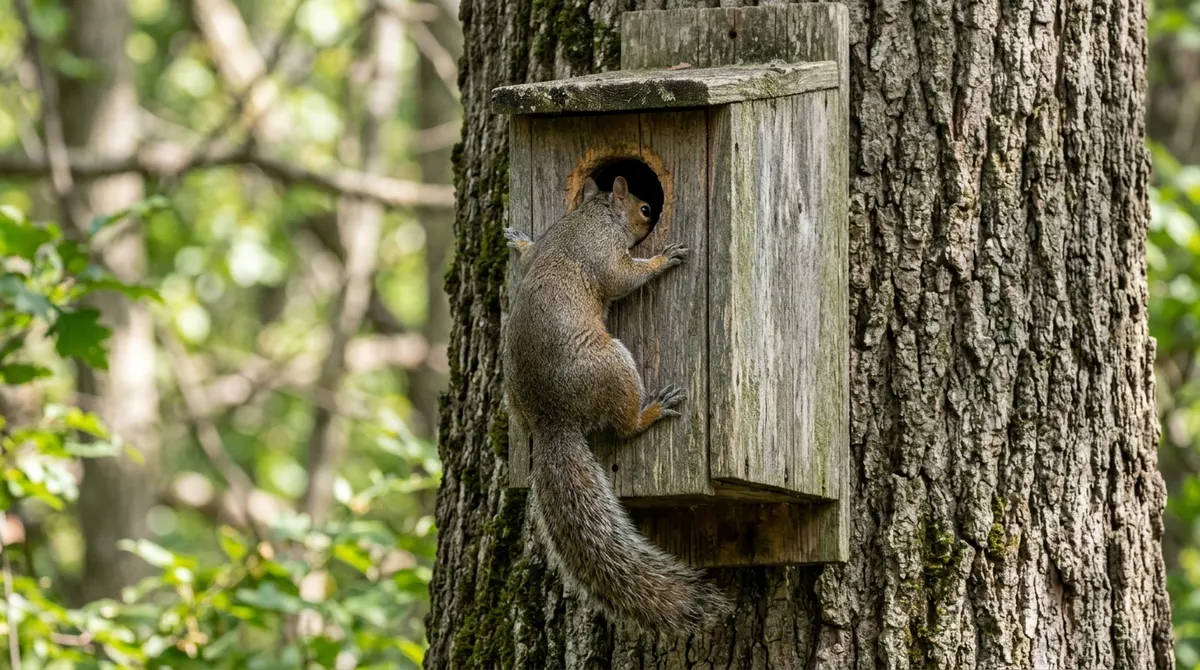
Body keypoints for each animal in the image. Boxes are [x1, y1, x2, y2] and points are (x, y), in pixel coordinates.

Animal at [501, 175, 730, 634]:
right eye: (645, 209)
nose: (652, 213)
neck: (592, 214)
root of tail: (552, 420)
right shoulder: (604, 254)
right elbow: (622, 278)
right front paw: (663, 258)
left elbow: (531, 253)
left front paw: (519, 241)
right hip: (615, 367)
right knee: (625, 426)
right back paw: (653, 410)